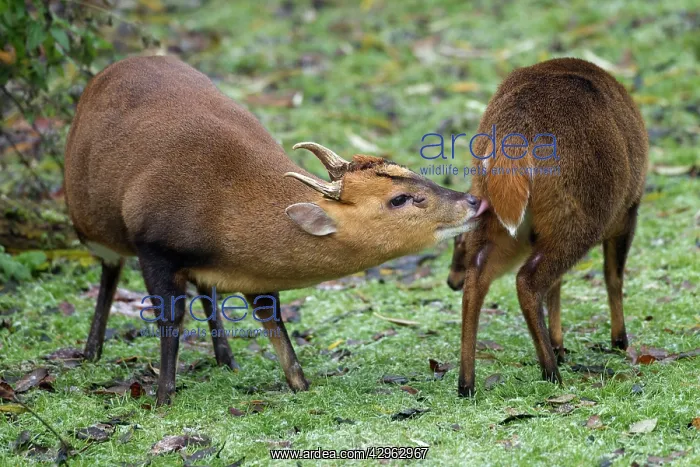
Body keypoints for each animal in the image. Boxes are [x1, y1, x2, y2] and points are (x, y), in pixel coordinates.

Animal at [63, 55, 486, 405]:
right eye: (399, 198)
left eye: (410, 171)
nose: (473, 202)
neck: (224, 209)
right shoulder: (153, 246)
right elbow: (170, 321)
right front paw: (163, 398)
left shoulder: (255, 272)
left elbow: (274, 322)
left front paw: (300, 385)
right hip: (90, 224)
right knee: (111, 269)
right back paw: (91, 351)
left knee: (204, 289)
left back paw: (226, 359)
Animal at [445, 58, 648, 396]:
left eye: (455, 242)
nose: (450, 280)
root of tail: (513, 139)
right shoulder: (628, 211)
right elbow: (613, 275)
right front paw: (619, 340)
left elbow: (558, 286)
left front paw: (560, 343)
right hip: (578, 218)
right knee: (527, 280)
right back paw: (551, 371)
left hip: (496, 216)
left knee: (479, 277)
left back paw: (467, 383)